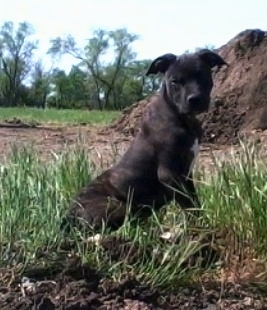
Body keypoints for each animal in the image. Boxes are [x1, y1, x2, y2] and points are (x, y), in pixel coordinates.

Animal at [67, 49, 228, 230]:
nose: (194, 99)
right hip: (118, 206)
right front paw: (200, 228)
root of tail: (69, 215)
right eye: (174, 81)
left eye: (203, 75)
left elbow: (194, 201)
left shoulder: (186, 175)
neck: (181, 117)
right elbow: (188, 205)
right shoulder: (169, 174)